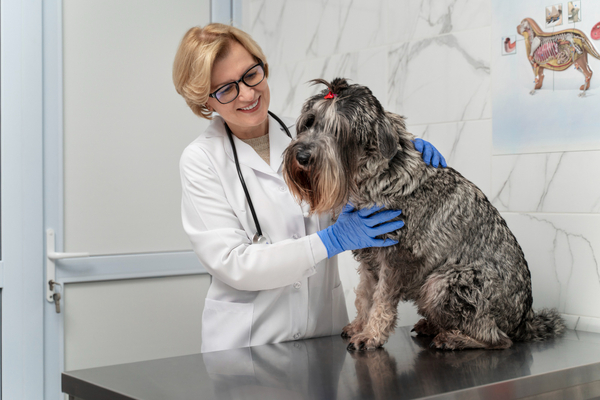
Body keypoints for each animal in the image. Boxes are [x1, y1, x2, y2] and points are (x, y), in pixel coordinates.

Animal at [284, 77, 564, 350]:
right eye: (309, 122)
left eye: (338, 130)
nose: (302, 156)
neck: (373, 176)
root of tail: (524, 321)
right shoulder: (368, 253)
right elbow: (365, 295)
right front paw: (359, 326)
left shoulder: (396, 257)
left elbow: (382, 299)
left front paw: (371, 335)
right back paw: (433, 326)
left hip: (444, 281)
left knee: (498, 339)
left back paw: (453, 339)